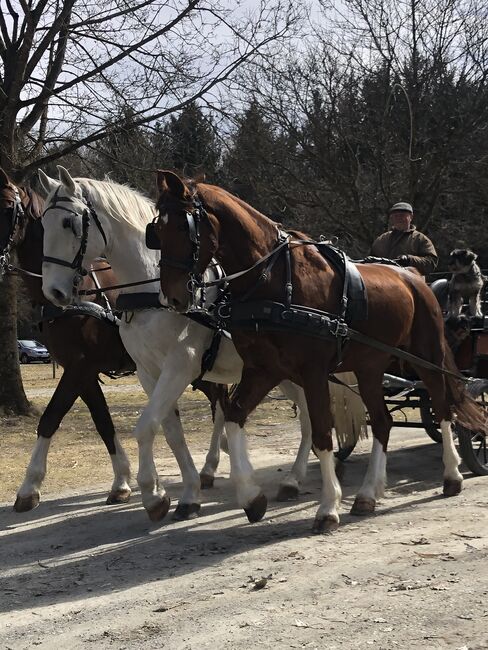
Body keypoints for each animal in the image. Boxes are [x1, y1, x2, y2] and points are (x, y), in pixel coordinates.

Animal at [39, 167, 366, 520]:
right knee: (304, 416)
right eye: (42, 223)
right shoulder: (148, 372)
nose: (53, 292)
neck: (149, 294)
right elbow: (170, 432)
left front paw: (152, 495)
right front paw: (185, 494)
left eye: (69, 223)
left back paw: (297, 478)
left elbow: (146, 426)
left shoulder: (179, 366)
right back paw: (294, 477)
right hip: (284, 374)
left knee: (309, 417)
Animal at [152, 171, 484, 532]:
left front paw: (327, 507)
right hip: (370, 366)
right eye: (156, 231)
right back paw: (368, 494)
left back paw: (452, 476)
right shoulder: (263, 370)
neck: (275, 281)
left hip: (427, 357)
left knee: (443, 408)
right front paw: (252, 498)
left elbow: (323, 434)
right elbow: (234, 418)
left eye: (183, 226)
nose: (172, 297)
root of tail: (413, 277)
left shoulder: (312, 373)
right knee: (383, 422)